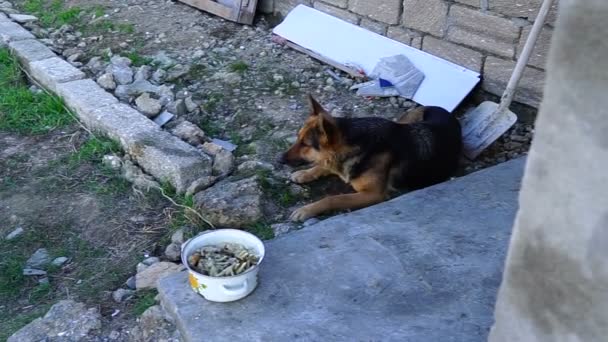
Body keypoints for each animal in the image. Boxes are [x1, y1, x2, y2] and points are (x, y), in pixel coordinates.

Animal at [280, 95, 460, 222]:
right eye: (298, 138)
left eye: (305, 144)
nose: (279, 160)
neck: (356, 144)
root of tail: (446, 112)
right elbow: (324, 165)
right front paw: (305, 173)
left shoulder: (373, 194)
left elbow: (334, 198)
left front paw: (306, 210)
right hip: (406, 120)